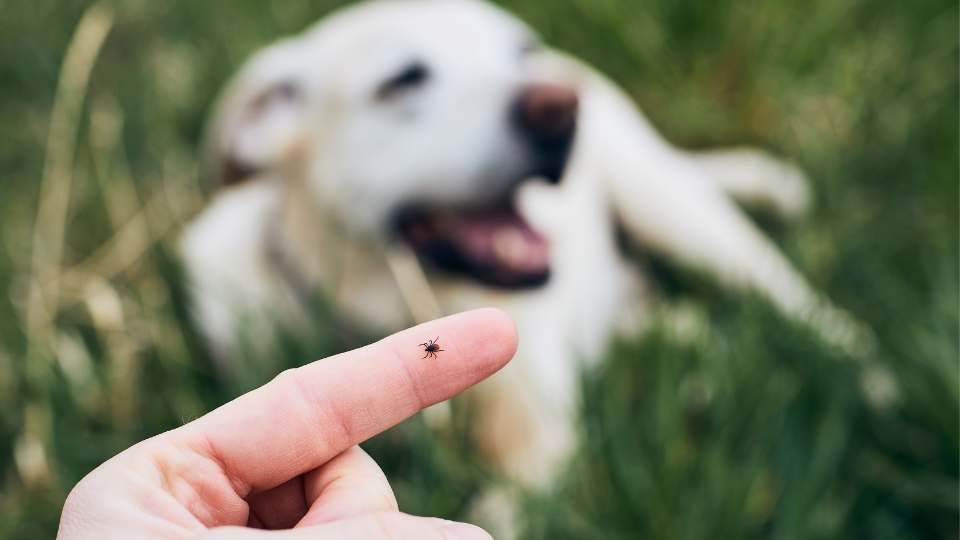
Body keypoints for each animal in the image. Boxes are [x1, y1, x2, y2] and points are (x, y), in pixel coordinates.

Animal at [178, 0, 872, 532]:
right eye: (403, 80)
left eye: (520, 51)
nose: (560, 107)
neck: (394, 304)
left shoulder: (540, 443)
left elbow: (505, 510)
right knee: (666, 316)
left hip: (674, 209)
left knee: (799, 305)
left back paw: (872, 380)